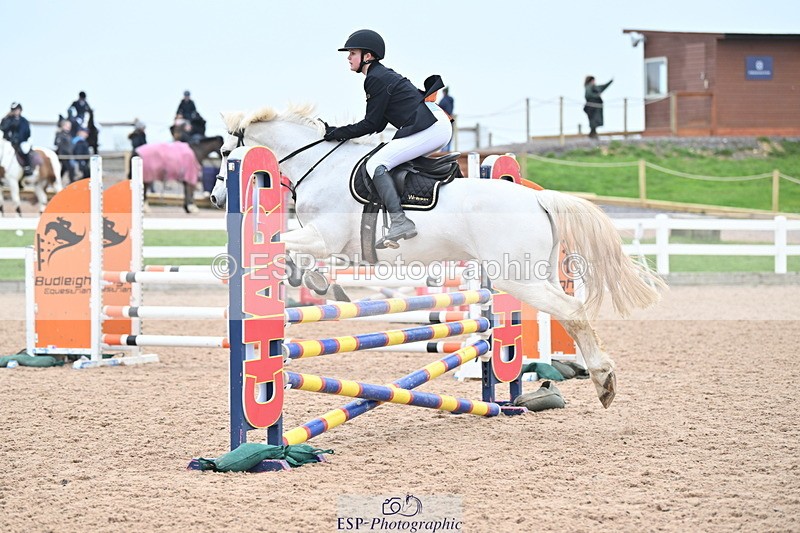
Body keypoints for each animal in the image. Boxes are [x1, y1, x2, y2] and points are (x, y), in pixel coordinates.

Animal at [210, 104, 666, 409]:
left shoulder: (324, 238)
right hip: (535, 274)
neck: (321, 166)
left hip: (517, 277)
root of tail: (538, 199)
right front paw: (313, 283)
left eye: (224, 154)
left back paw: (604, 381)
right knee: (567, 312)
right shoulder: (332, 245)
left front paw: (305, 281)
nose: (216, 199)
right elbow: (294, 255)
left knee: (572, 311)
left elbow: (287, 247)